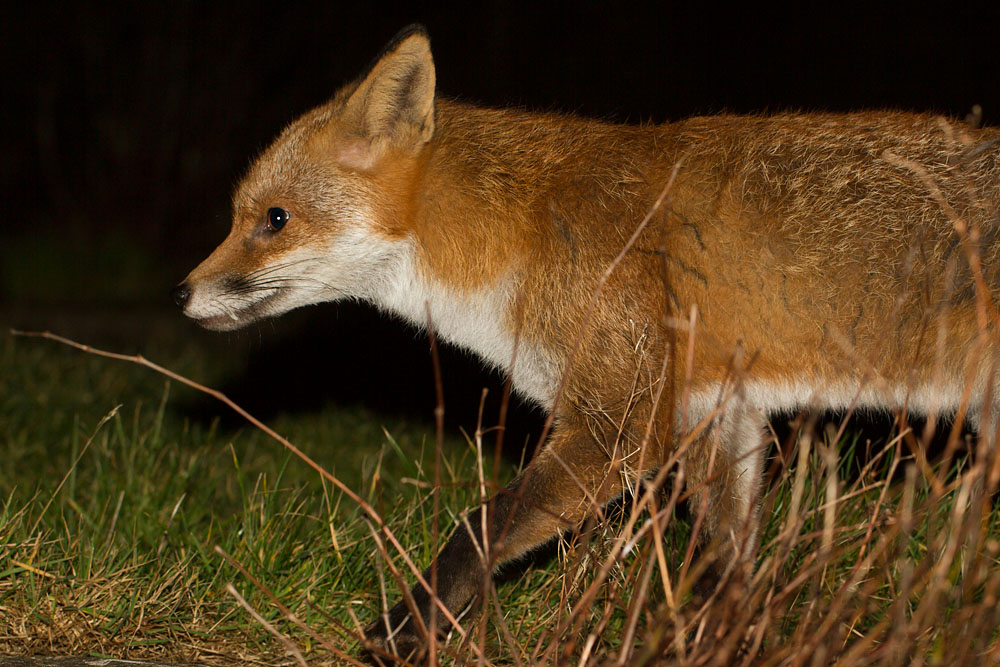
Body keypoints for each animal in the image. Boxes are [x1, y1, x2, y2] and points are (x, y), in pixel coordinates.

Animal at [174, 24, 1000, 660]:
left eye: (274, 219)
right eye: (241, 214)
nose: (181, 293)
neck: (523, 230)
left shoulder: (619, 427)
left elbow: (481, 522)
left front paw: (409, 629)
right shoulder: (717, 412)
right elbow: (726, 570)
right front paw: (717, 642)